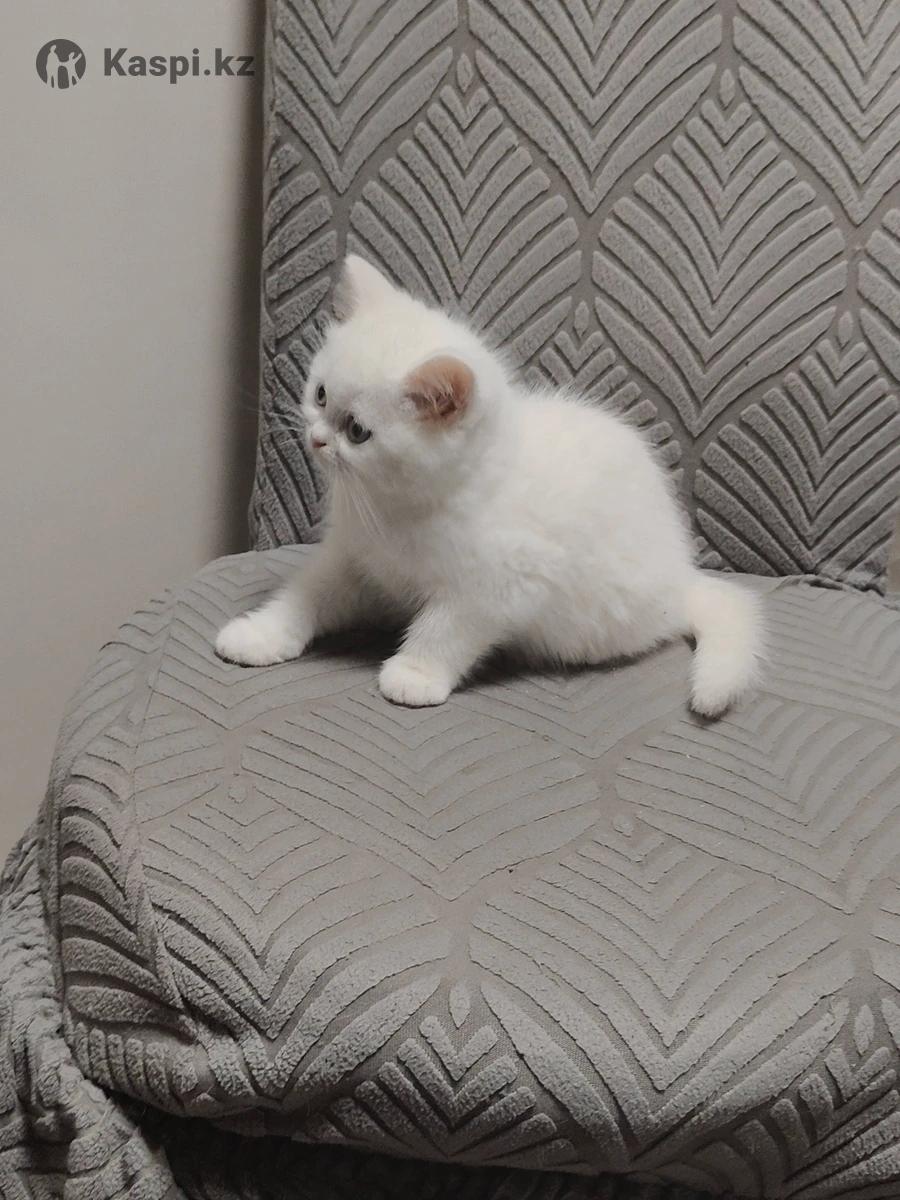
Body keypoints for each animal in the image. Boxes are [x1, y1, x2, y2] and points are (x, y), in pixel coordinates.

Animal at [217, 255, 763, 715]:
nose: (315, 438)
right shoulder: (350, 558)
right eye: (320, 395)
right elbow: (305, 594)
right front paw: (260, 633)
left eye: (356, 431)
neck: (396, 505)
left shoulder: (498, 585)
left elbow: (446, 629)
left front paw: (415, 674)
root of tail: (681, 577)